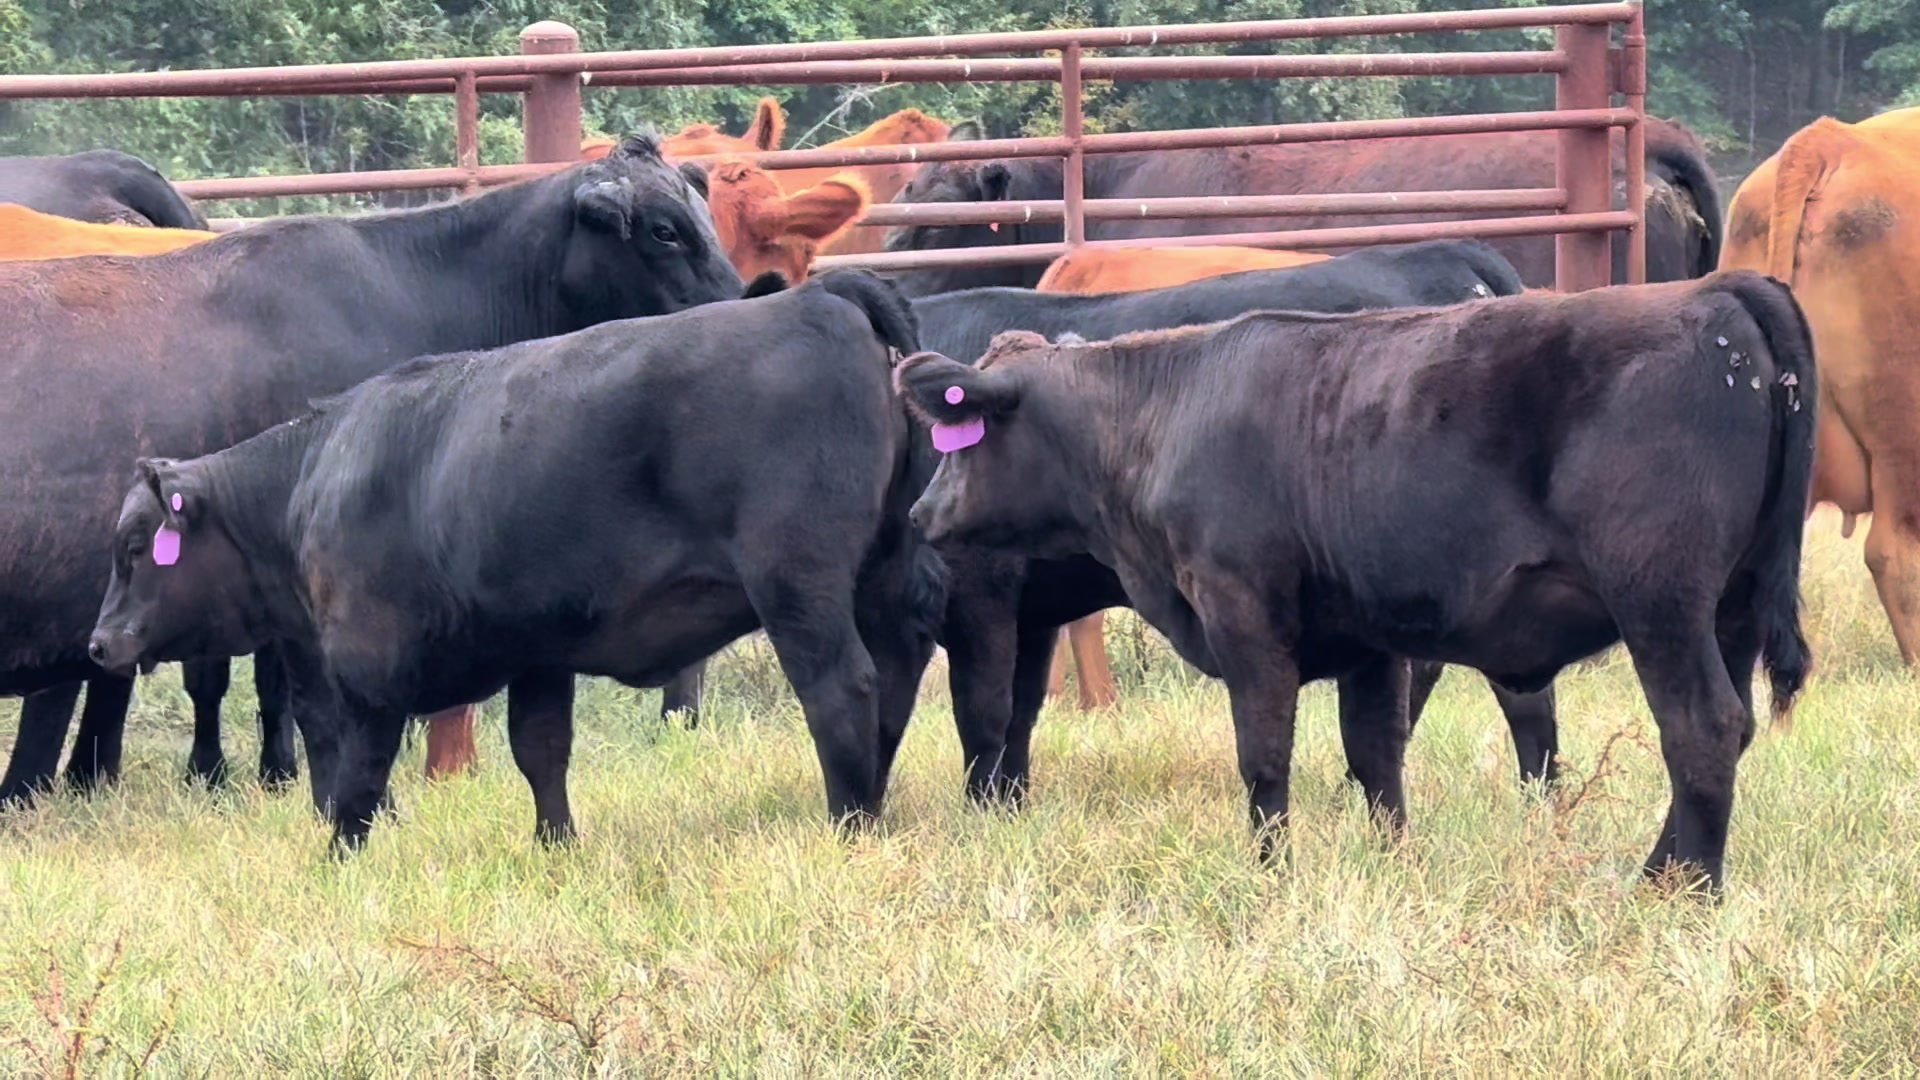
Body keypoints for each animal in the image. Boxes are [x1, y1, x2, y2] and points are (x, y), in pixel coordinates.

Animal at [88, 270, 943, 853]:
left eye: (134, 550)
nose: (98, 643)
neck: (315, 473)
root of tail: (818, 295)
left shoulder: (367, 670)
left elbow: (357, 775)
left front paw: (340, 858)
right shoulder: (539, 653)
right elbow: (541, 752)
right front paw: (554, 845)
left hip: (797, 585)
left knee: (842, 688)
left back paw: (848, 821)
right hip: (879, 577)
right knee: (895, 678)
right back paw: (875, 800)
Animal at [895, 270, 1816, 892]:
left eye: (968, 435)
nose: (919, 512)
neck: (1170, 411)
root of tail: (1715, 293)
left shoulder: (1243, 614)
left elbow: (1265, 757)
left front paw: (1271, 871)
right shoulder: (1369, 638)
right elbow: (1376, 759)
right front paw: (1392, 860)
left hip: (1659, 602)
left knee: (1699, 728)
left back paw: (1682, 887)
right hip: (1730, 610)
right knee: (1728, 729)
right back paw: (1667, 869)